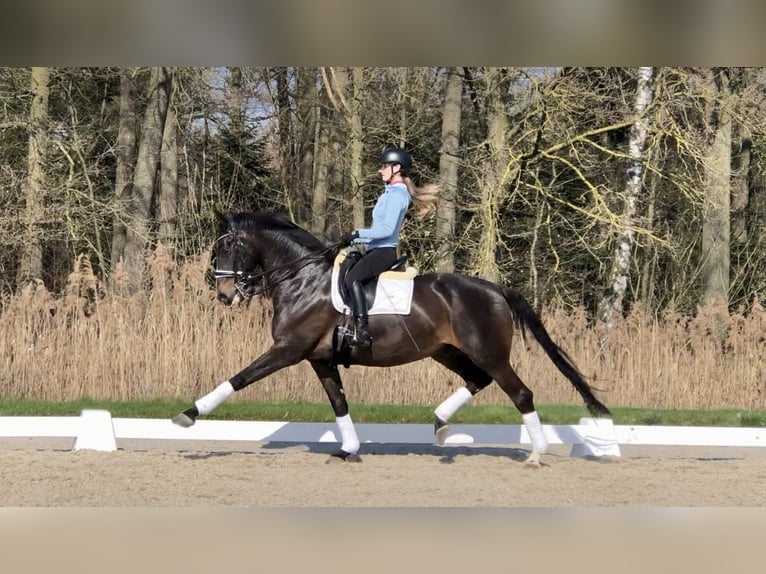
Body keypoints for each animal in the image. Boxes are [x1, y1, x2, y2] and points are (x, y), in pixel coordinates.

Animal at [172, 211, 611, 468]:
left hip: (489, 353)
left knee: (519, 393)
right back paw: (440, 425)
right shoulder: (319, 359)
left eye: (230, 247)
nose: (224, 295)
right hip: (446, 352)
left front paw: (189, 415)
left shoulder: (289, 349)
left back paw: (535, 454)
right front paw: (348, 450)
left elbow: (238, 378)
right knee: (477, 380)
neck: (302, 280)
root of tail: (496, 289)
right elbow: (339, 403)